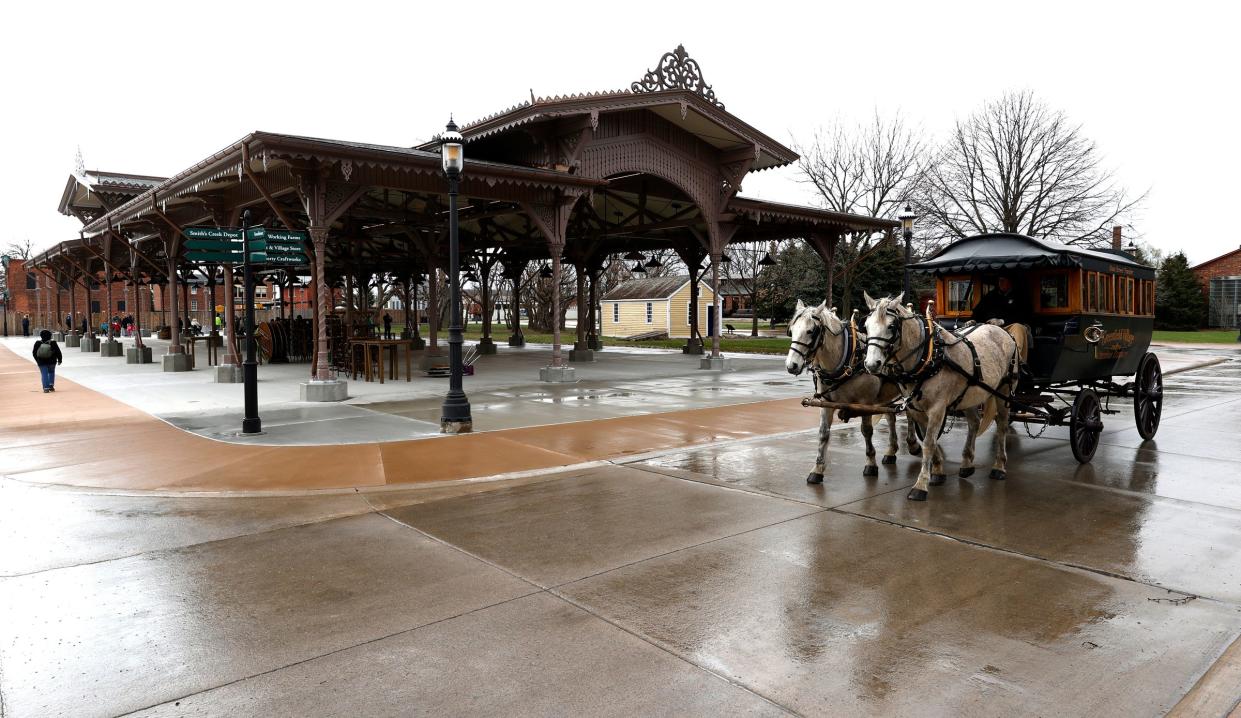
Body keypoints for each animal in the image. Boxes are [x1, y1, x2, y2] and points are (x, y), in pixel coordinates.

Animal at [784, 297, 923, 483]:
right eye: (791, 331)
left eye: (811, 331)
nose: (792, 365)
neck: (847, 360)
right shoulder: (826, 403)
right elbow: (823, 434)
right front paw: (817, 469)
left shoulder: (865, 403)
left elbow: (867, 431)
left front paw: (871, 463)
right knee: (891, 417)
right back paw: (891, 450)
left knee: (909, 414)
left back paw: (913, 444)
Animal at [863, 292, 1017, 500]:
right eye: (866, 326)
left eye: (891, 326)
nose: (872, 364)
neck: (928, 357)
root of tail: (999, 327)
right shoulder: (916, 408)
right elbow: (930, 440)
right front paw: (937, 471)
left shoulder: (937, 408)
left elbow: (929, 442)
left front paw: (920, 485)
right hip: (970, 393)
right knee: (974, 422)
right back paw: (967, 463)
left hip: (1004, 390)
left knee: (1001, 425)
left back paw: (999, 466)